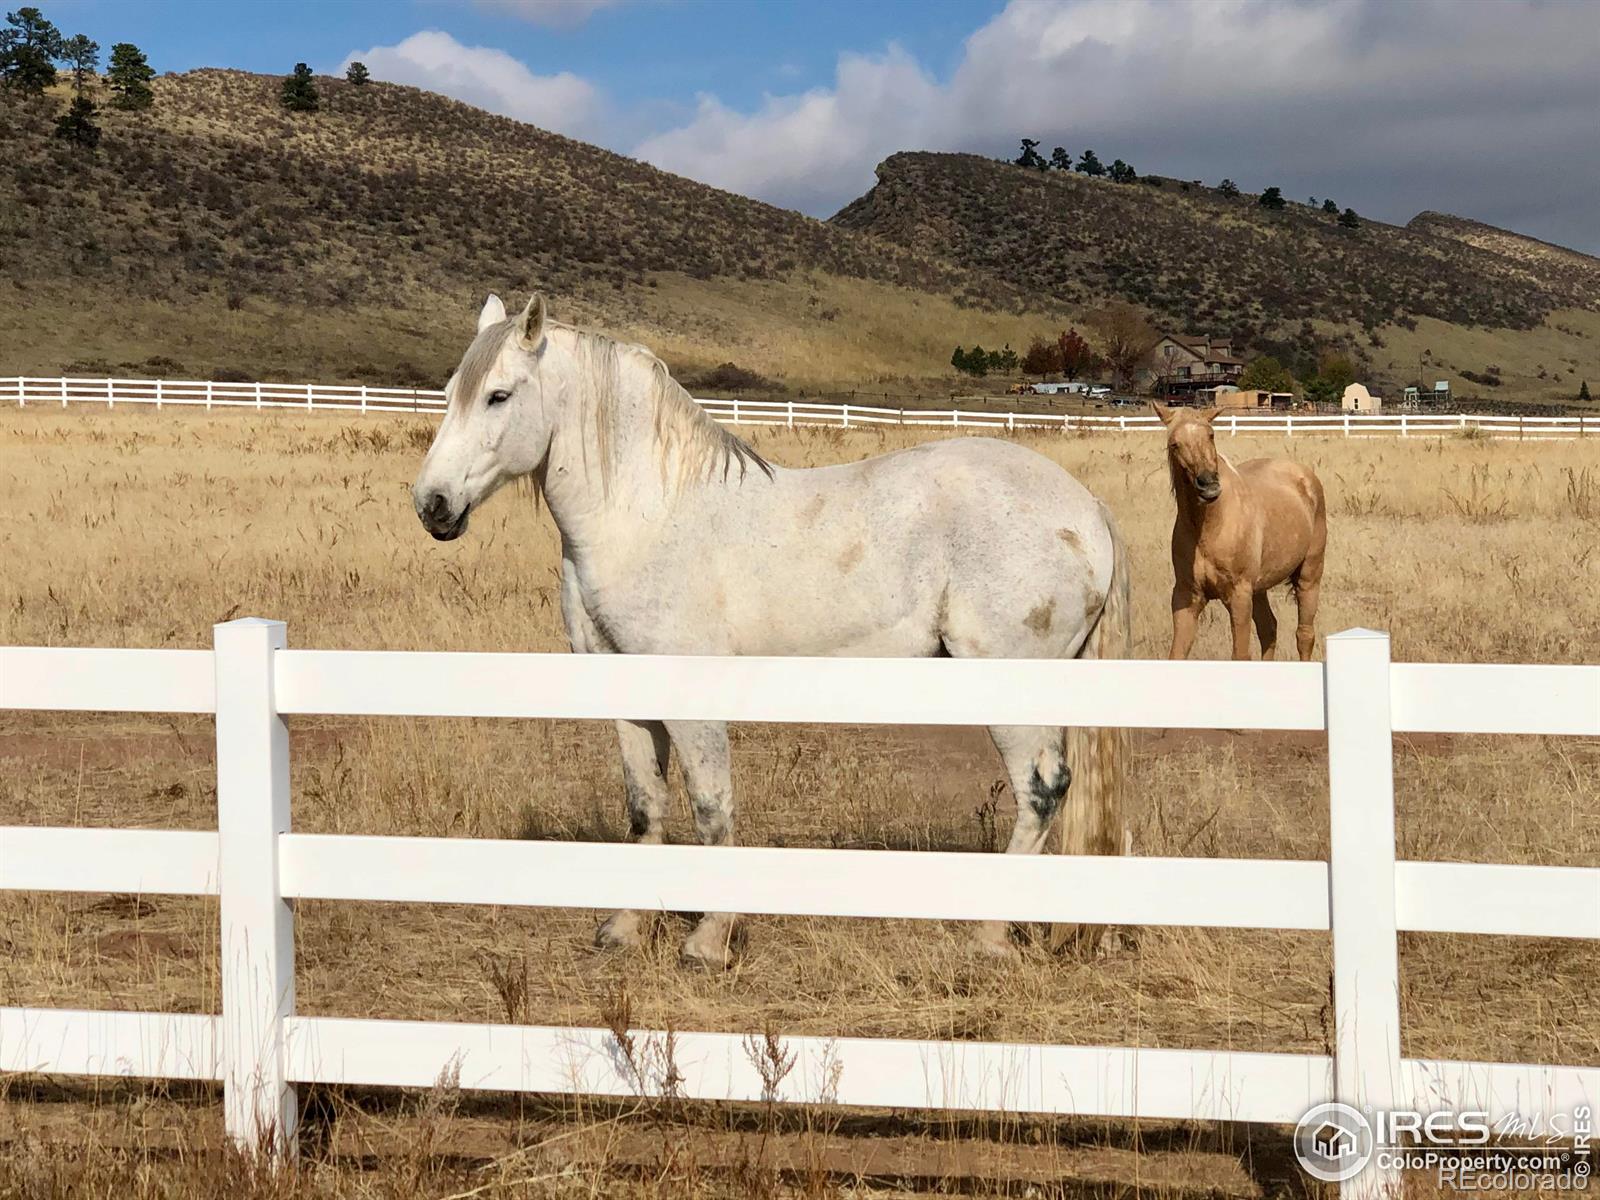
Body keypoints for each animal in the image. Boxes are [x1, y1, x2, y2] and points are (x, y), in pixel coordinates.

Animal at [416, 296, 1139, 972]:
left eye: (499, 395)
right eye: (450, 393)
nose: (432, 506)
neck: (646, 516)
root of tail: (1087, 507)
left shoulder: (691, 698)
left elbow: (711, 808)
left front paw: (708, 942)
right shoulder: (627, 693)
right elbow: (646, 809)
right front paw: (624, 930)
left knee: (1042, 790)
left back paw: (988, 936)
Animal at [1152, 406, 1324, 668]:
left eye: (1211, 434)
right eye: (1174, 444)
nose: (1209, 486)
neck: (1210, 528)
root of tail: (1305, 476)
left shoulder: (1239, 596)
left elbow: (1241, 655)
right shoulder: (1187, 597)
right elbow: (1177, 654)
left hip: (1309, 577)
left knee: (1304, 635)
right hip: (1259, 588)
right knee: (1269, 629)